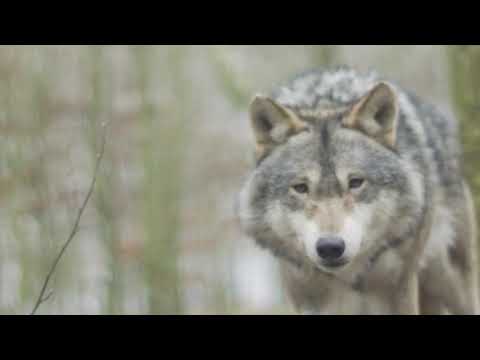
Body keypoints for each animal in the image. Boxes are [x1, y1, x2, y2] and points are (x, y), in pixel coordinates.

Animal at [237, 66, 480, 314]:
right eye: (301, 188)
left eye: (355, 182)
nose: (330, 247)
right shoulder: (306, 299)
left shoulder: (399, 289)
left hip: (452, 282)